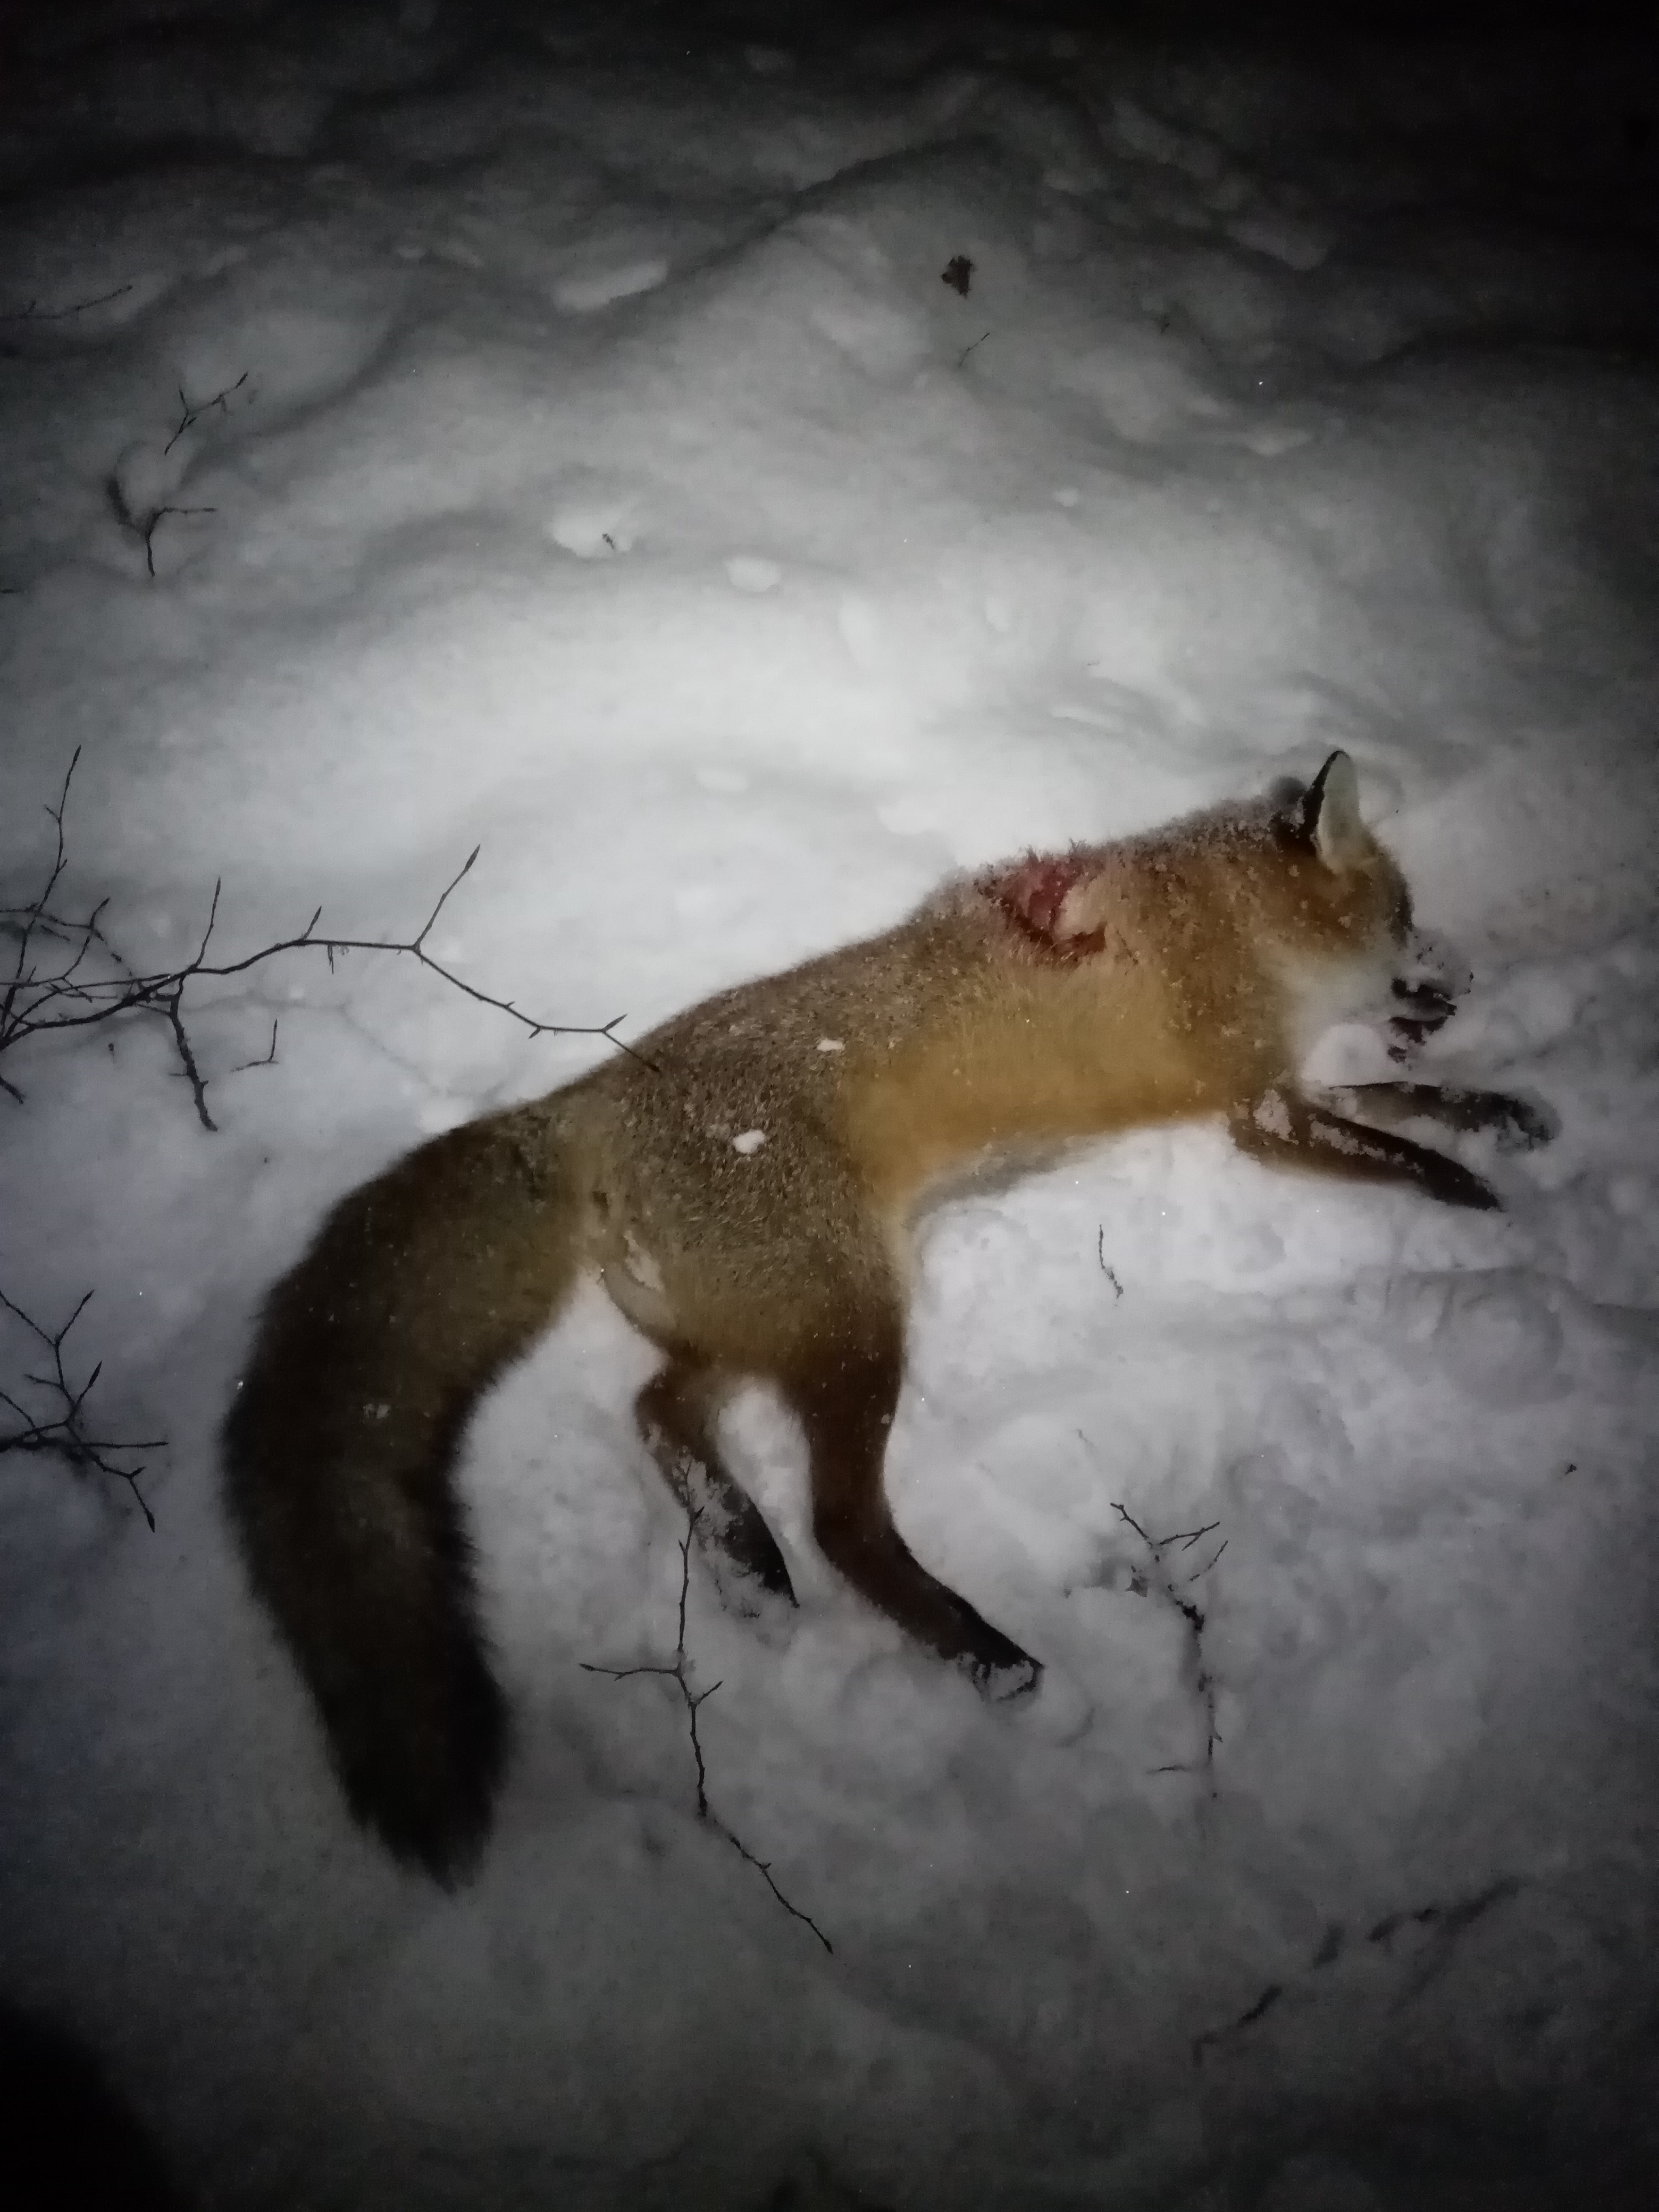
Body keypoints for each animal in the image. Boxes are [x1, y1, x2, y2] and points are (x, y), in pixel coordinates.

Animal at [223, 751, 1551, 1883]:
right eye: (1404, 918)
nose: (1462, 975)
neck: (1218, 922)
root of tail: (586, 1103)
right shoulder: (1255, 1113)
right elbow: (1389, 1141)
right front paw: (1471, 1190)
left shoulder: (1271, 1085)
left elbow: (1406, 1094)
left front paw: (1502, 1115)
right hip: (859, 1326)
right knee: (841, 1524)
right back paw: (996, 1664)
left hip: (768, 1329)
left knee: (659, 1415)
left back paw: (746, 1562)